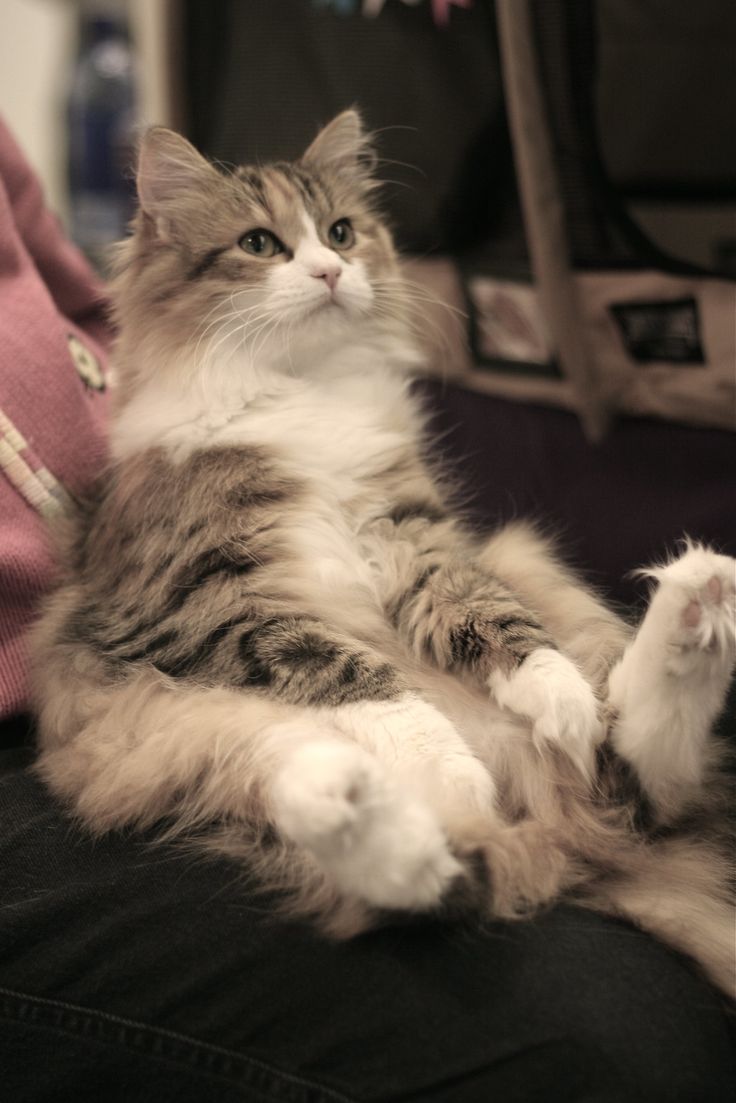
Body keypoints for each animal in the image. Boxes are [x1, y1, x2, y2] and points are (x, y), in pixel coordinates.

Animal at [33, 114, 736, 1001]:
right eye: (259, 243)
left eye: (340, 232)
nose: (331, 271)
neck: (306, 392)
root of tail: (572, 834)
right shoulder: (193, 604)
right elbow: (353, 670)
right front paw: (442, 758)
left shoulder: (410, 534)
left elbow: (492, 615)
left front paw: (557, 691)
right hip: (175, 737)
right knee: (434, 877)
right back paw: (346, 798)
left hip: (530, 564)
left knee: (638, 764)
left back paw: (694, 607)